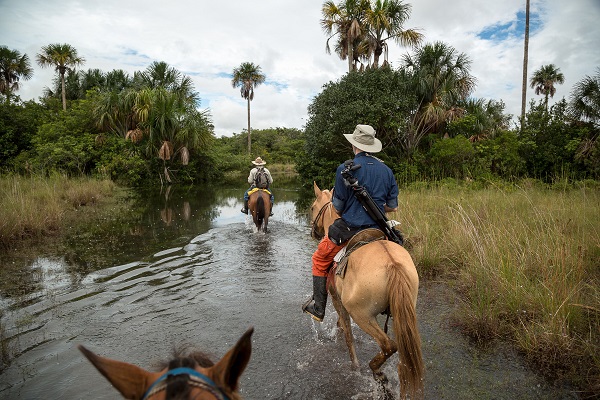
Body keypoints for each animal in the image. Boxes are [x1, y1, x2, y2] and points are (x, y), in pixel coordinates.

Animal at [312, 183, 424, 398]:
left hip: (362, 315)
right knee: (403, 359)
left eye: (313, 207)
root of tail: (393, 265)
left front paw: (354, 367)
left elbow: (348, 336)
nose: (314, 232)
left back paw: (377, 372)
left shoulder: (338, 300)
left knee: (388, 345)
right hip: (403, 313)